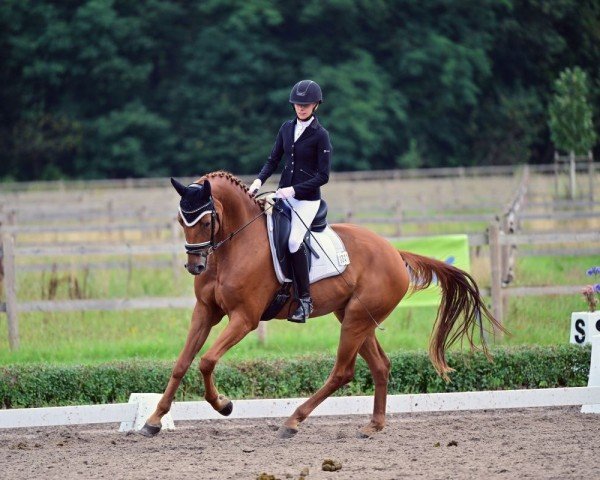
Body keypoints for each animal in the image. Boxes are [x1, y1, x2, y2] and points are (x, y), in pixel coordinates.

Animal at [139, 172, 502, 438]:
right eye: (181, 220)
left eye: (204, 221)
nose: (195, 266)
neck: (235, 246)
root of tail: (394, 252)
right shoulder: (205, 311)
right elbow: (182, 363)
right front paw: (154, 419)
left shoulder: (245, 318)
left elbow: (207, 360)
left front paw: (224, 405)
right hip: (356, 317)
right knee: (380, 366)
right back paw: (373, 425)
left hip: (354, 321)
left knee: (343, 371)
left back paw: (292, 422)